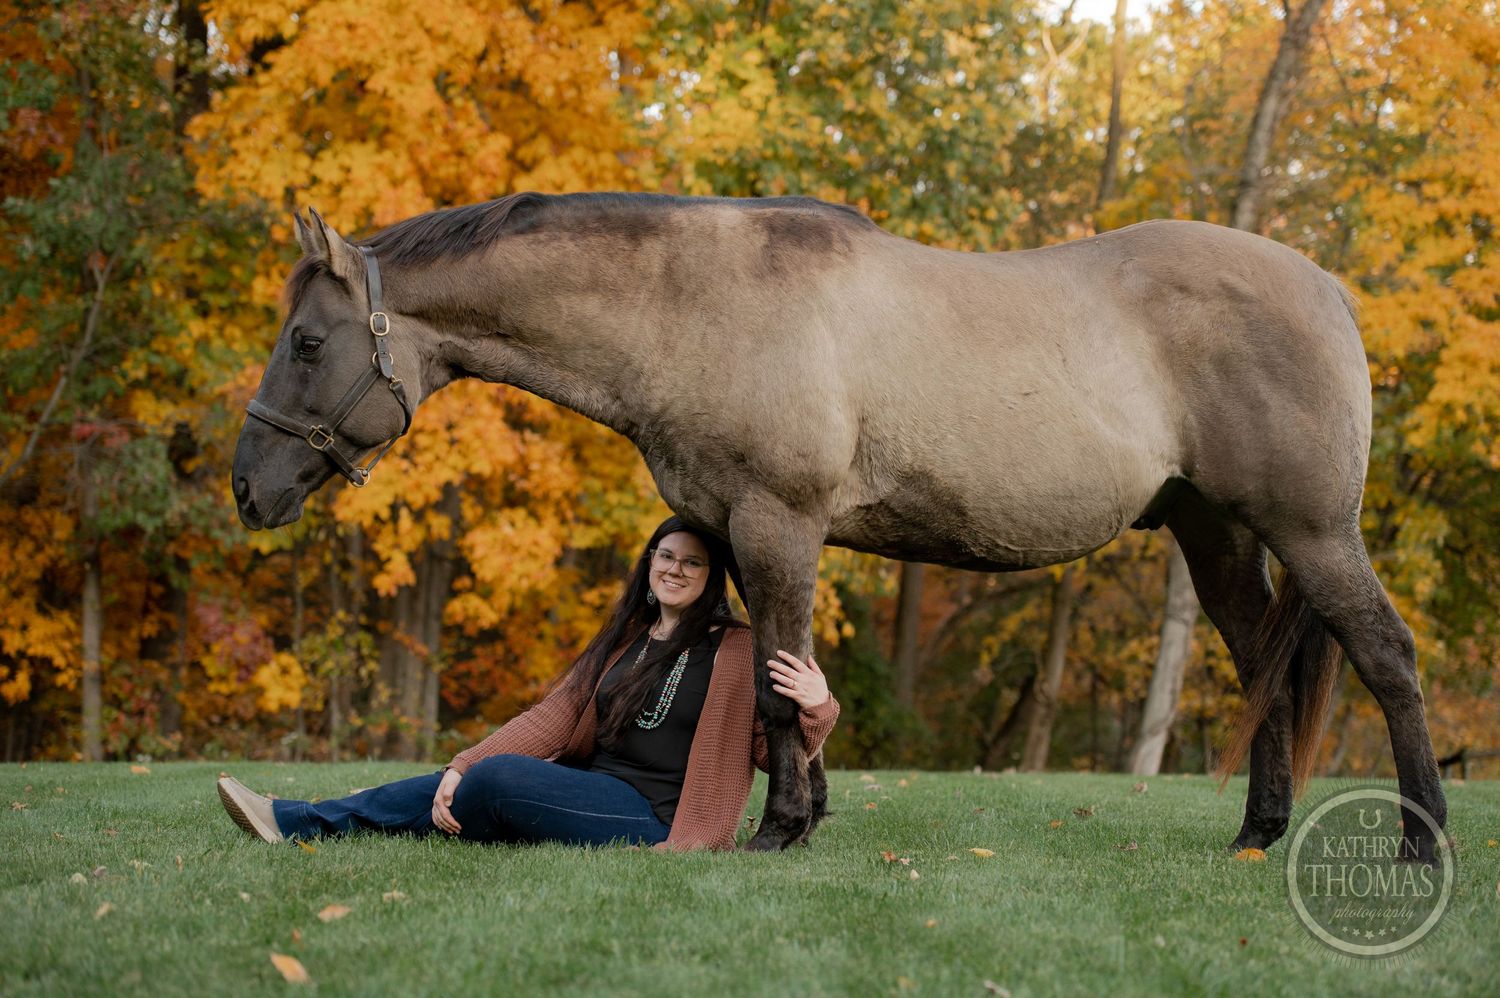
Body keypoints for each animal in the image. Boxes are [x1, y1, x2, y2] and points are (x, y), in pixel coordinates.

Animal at [231, 191, 1446, 860]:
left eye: (305, 342)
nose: (250, 488)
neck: (692, 306)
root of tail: (1329, 290)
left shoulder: (781, 523)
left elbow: (779, 681)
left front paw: (778, 828)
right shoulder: (731, 526)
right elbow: (784, 673)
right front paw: (802, 817)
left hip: (1313, 530)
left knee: (1387, 657)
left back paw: (1421, 842)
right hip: (1216, 531)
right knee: (1259, 666)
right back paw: (1256, 834)